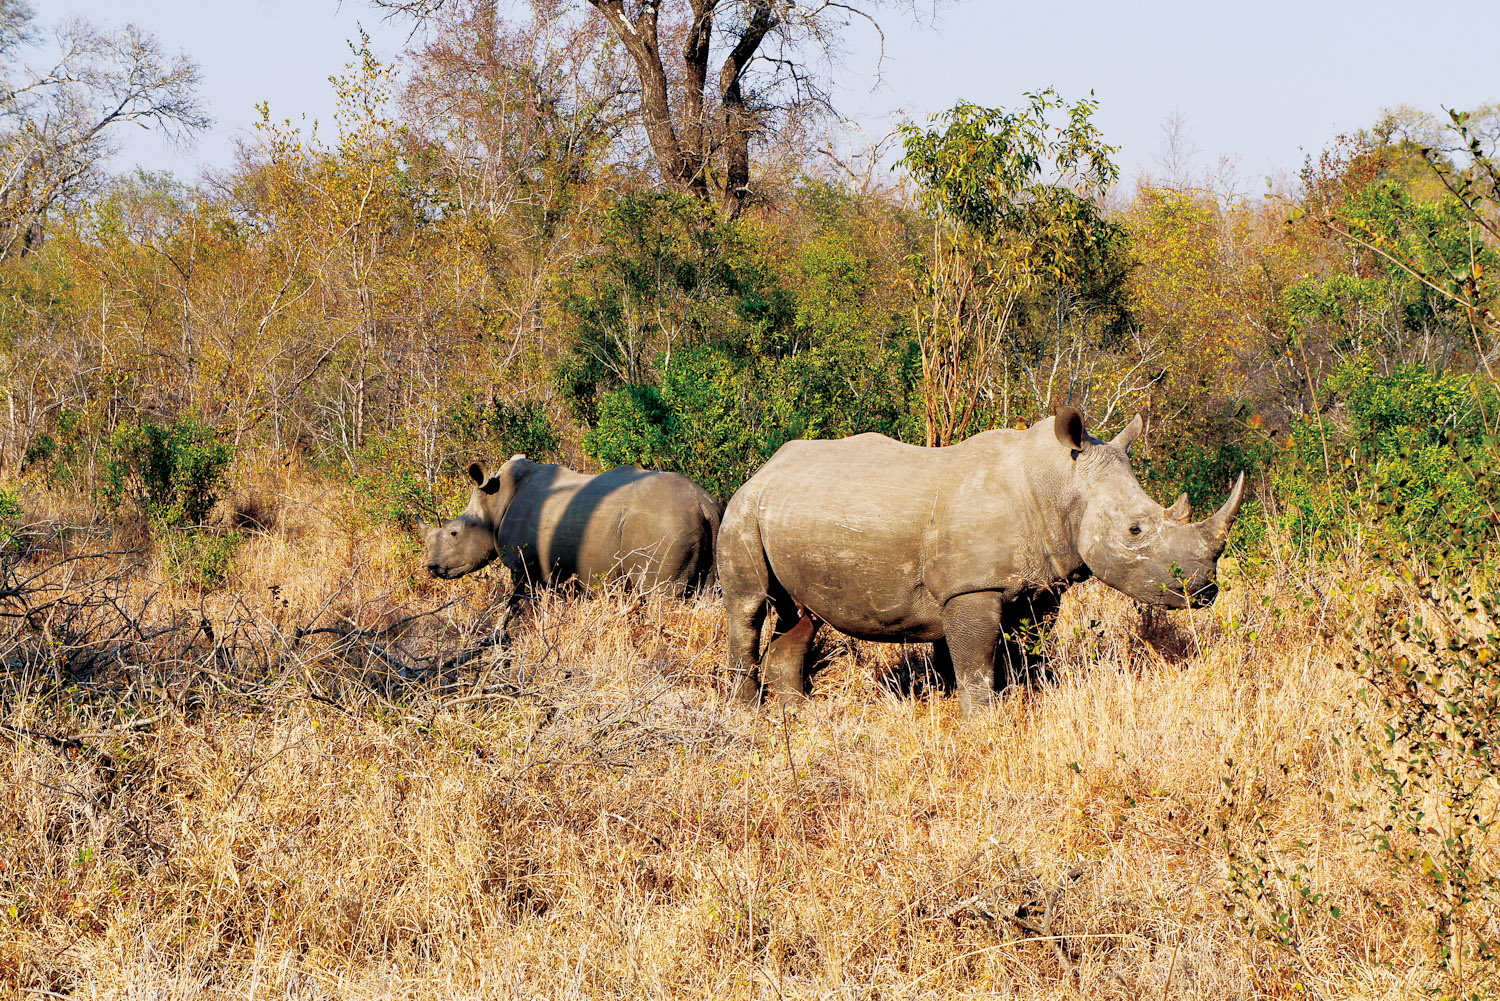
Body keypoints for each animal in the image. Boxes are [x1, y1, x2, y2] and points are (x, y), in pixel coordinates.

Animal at [426, 459, 723, 600]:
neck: (495, 502)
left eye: (454, 533)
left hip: (663, 525)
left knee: (661, 597)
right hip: (705, 523)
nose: (431, 567)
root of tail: (703, 502)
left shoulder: (524, 568)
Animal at [720, 408, 1248, 711]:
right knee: (748, 606)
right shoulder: (972, 587)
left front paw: (1023, 704)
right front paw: (983, 722)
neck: (1058, 483)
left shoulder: (1040, 584)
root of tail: (764, 468)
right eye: (1135, 530)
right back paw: (748, 714)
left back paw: (795, 714)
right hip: (743, 508)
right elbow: (975, 661)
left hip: (792, 509)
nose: (1205, 589)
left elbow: (1023, 651)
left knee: (802, 617)